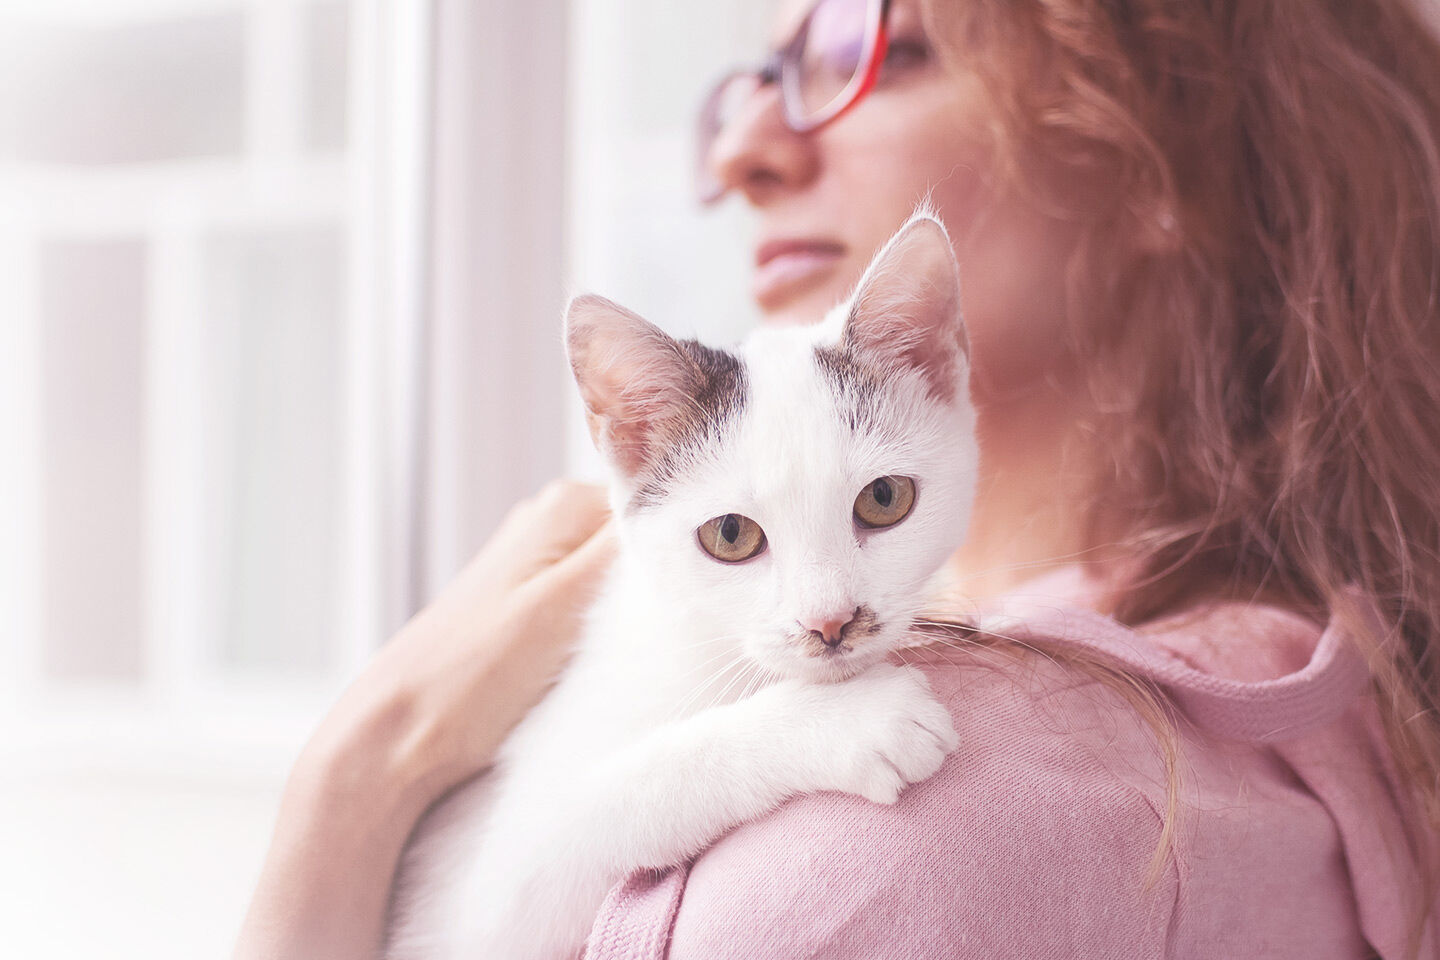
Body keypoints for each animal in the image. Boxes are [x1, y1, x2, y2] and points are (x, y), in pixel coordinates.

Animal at [385, 211, 979, 960]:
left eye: (884, 498)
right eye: (730, 535)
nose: (831, 621)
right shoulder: (485, 905)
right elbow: (614, 799)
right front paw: (850, 720)